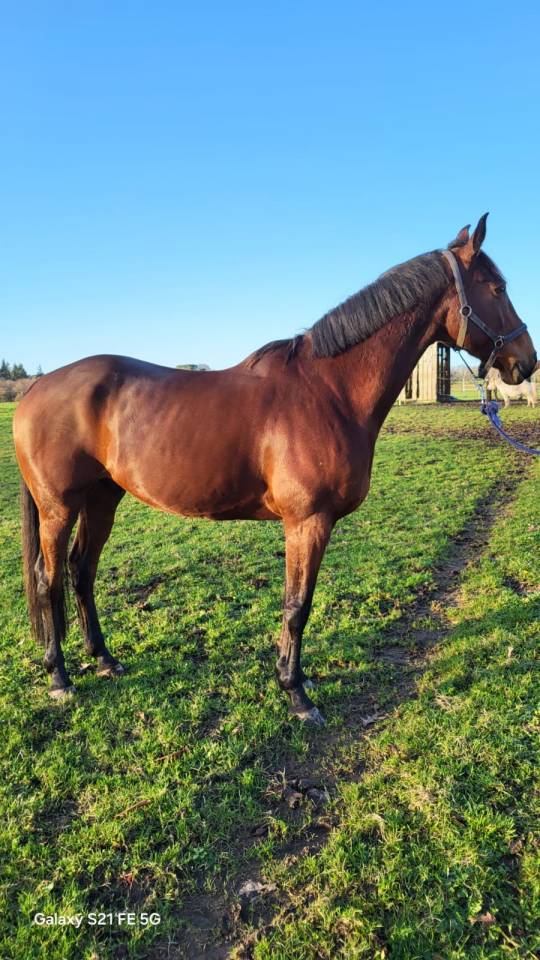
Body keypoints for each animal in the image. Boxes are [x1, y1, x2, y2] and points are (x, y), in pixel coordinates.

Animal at [13, 214, 537, 724]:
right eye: (496, 287)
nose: (525, 362)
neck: (330, 391)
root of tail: (36, 389)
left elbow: (299, 604)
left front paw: (297, 682)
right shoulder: (307, 522)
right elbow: (297, 606)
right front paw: (296, 694)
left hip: (103, 497)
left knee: (82, 571)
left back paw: (104, 659)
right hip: (59, 507)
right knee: (48, 579)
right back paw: (60, 678)